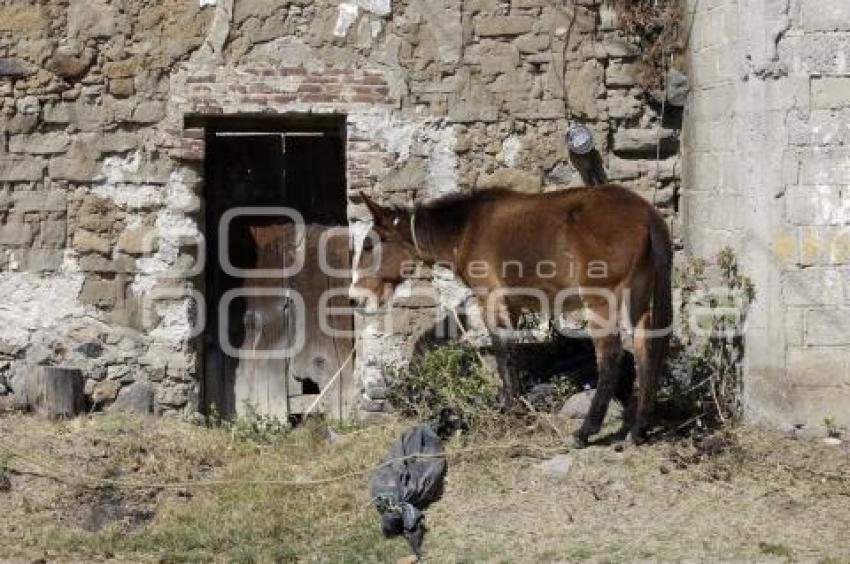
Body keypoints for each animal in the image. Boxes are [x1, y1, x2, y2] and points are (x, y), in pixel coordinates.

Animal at [352, 185, 668, 446]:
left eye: (368, 245)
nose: (355, 298)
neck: (466, 229)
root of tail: (645, 211)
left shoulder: (489, 298)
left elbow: (501, 351)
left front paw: (508, 411)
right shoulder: (512, 305)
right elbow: (511, 354)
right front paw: (516, 405)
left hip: (601, 301)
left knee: (612, 356)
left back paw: (585, 432)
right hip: (639, 297)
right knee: (646, 349)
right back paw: (638, 429)